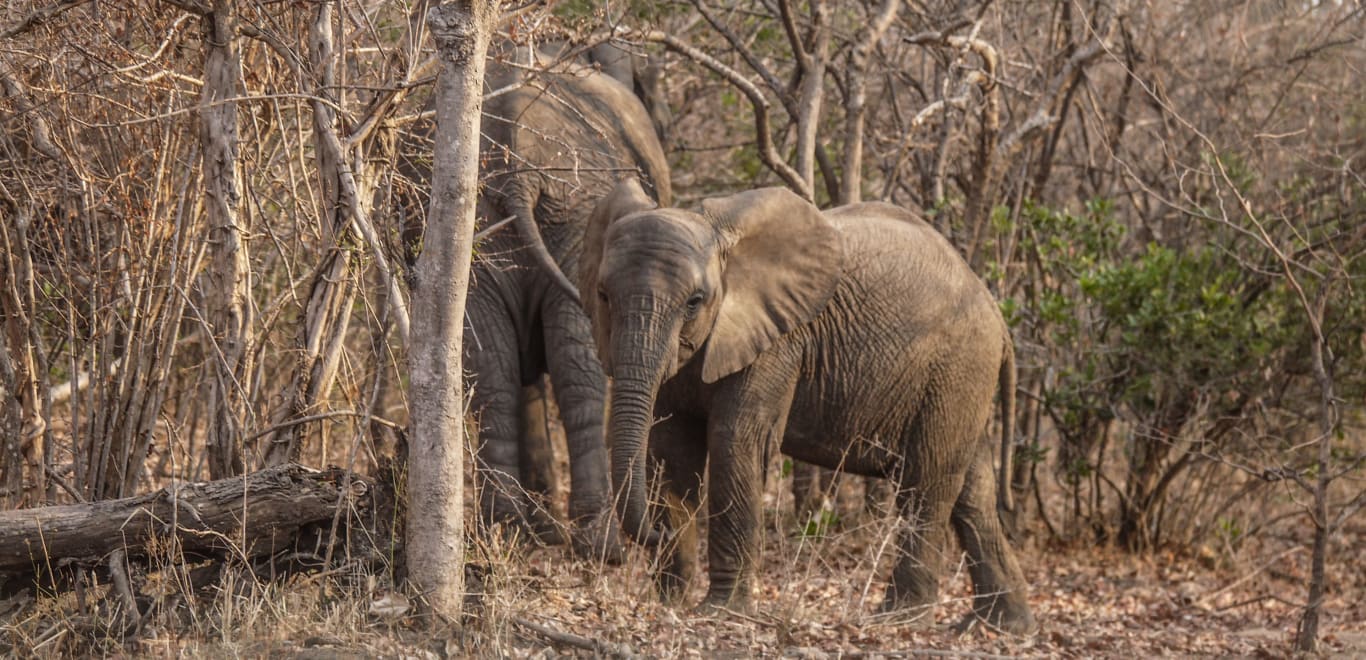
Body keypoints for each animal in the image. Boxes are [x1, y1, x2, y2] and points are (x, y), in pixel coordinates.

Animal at [396, 44, 672, 562]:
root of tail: (518, 171)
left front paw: (539, 528)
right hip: (580, 209)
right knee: (577, 371)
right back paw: (601, 545)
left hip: (491, 224)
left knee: (491, 369)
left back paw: (507, 530)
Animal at [576, 177, 1032, 634]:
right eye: (602, 295)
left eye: (694, 301)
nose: (655, 534)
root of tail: (997, 315)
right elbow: (671, 451)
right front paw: (670, 602)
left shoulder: (779, 341)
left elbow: (735, 442)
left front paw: (720, 612)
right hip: (960, 380)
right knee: (972, 490)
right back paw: (1001, 624)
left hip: (958, 367)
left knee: (926, 480)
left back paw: (898, 619)